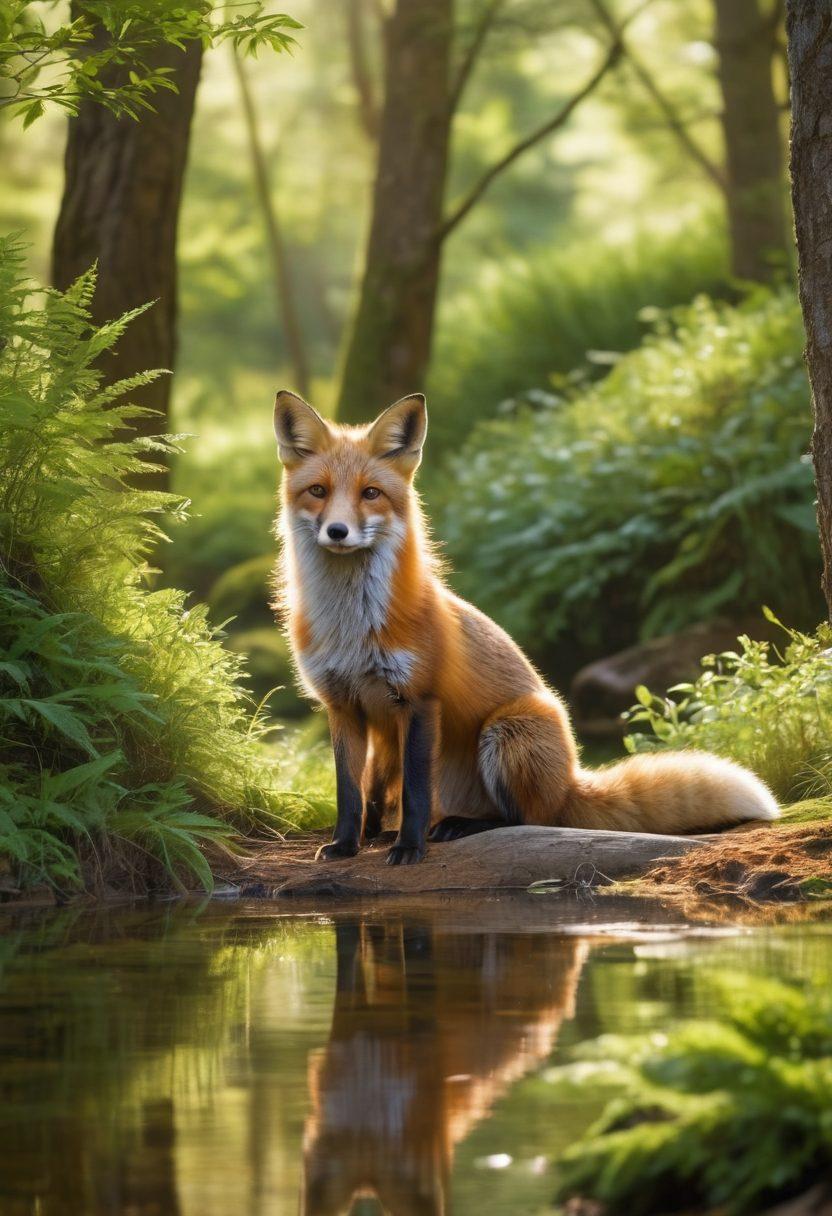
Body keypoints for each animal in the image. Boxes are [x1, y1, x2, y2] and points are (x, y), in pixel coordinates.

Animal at [273, 389, 779, 866]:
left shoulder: (419, 700)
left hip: (507, 731)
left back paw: (459, 826)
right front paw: (346, 844)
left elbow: (416, 794)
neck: (351, 629)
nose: (338, 531)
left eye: (370, 494)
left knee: (526, 819)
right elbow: (350, 793)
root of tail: (571, 783)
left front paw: (409, 848)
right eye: (318, 490)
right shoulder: (343, 705)